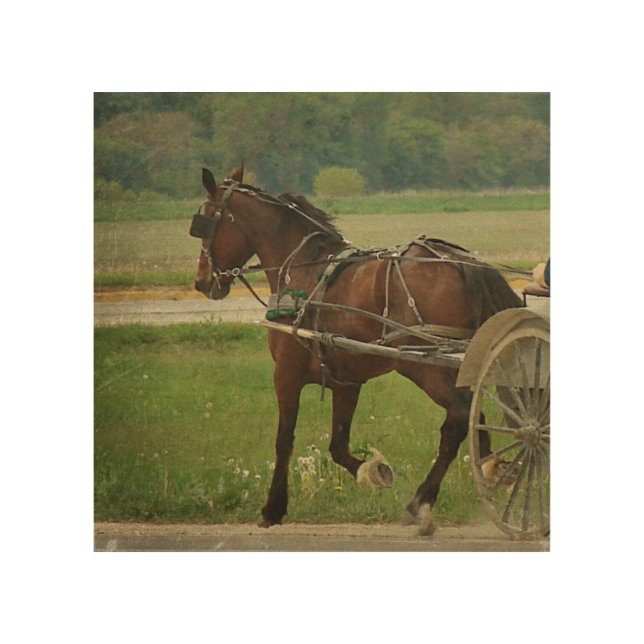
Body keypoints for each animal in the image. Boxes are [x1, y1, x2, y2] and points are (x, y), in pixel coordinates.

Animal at [191, 162, 522, 535]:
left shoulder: (286, 374)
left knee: (459, 419)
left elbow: (284, 439)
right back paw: (483, 471)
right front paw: (374, 471)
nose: (202, 281)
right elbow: (337, 445)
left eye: (206, 220)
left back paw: (425, 501)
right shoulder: (345, 381)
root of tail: (460, 262)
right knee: (470, 418)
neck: (303, 272)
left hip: (423, 366)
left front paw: (272, 508)